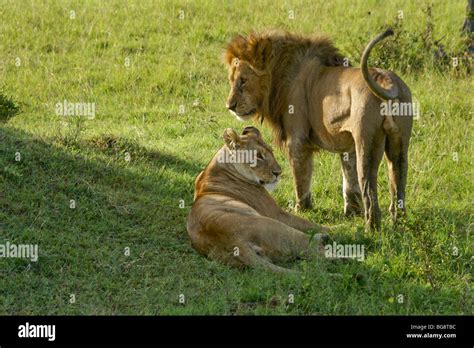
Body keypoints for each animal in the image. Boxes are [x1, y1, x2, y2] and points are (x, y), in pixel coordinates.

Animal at [186, 126, 330, 274]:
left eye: (271, 152)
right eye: (258, 156)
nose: (278, 173)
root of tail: (234, 242)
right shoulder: (277, 214)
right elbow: (310, 223)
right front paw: (329, 229)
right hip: (276, 226)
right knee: (320, 252)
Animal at [224, 29, 412, 231]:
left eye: (243, 81)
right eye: (231, 81)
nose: (230, 106)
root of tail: (388, 82)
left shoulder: (297, 141)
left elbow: (301, 178)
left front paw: (301, 209)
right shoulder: (348, 144)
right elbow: (349, 181)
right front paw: (352, 212)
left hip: (367, 143)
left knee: (369, 188)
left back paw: (371, 228)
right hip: (399, 146)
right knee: (398, 181)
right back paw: (399, 224)